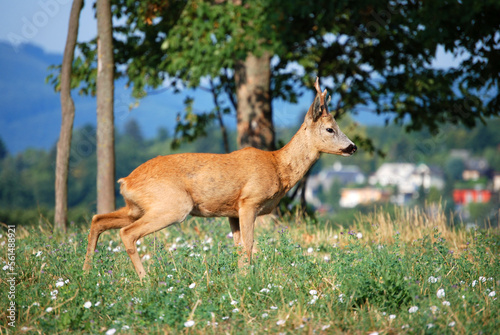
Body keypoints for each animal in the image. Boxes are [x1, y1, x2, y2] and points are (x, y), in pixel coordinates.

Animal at [83, 77, 356, 280]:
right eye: (330, 129)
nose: (352, 147)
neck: (278, 167)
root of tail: (125, 181)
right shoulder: (249, 201)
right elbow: (249, 245)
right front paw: (248, 281)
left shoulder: (231, 212)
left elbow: (238, 247)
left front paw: (240, 279)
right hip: (172, 204)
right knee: (127, 233)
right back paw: (145, 280)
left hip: (136, 207)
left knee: (98, 220)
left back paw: (86, 273)